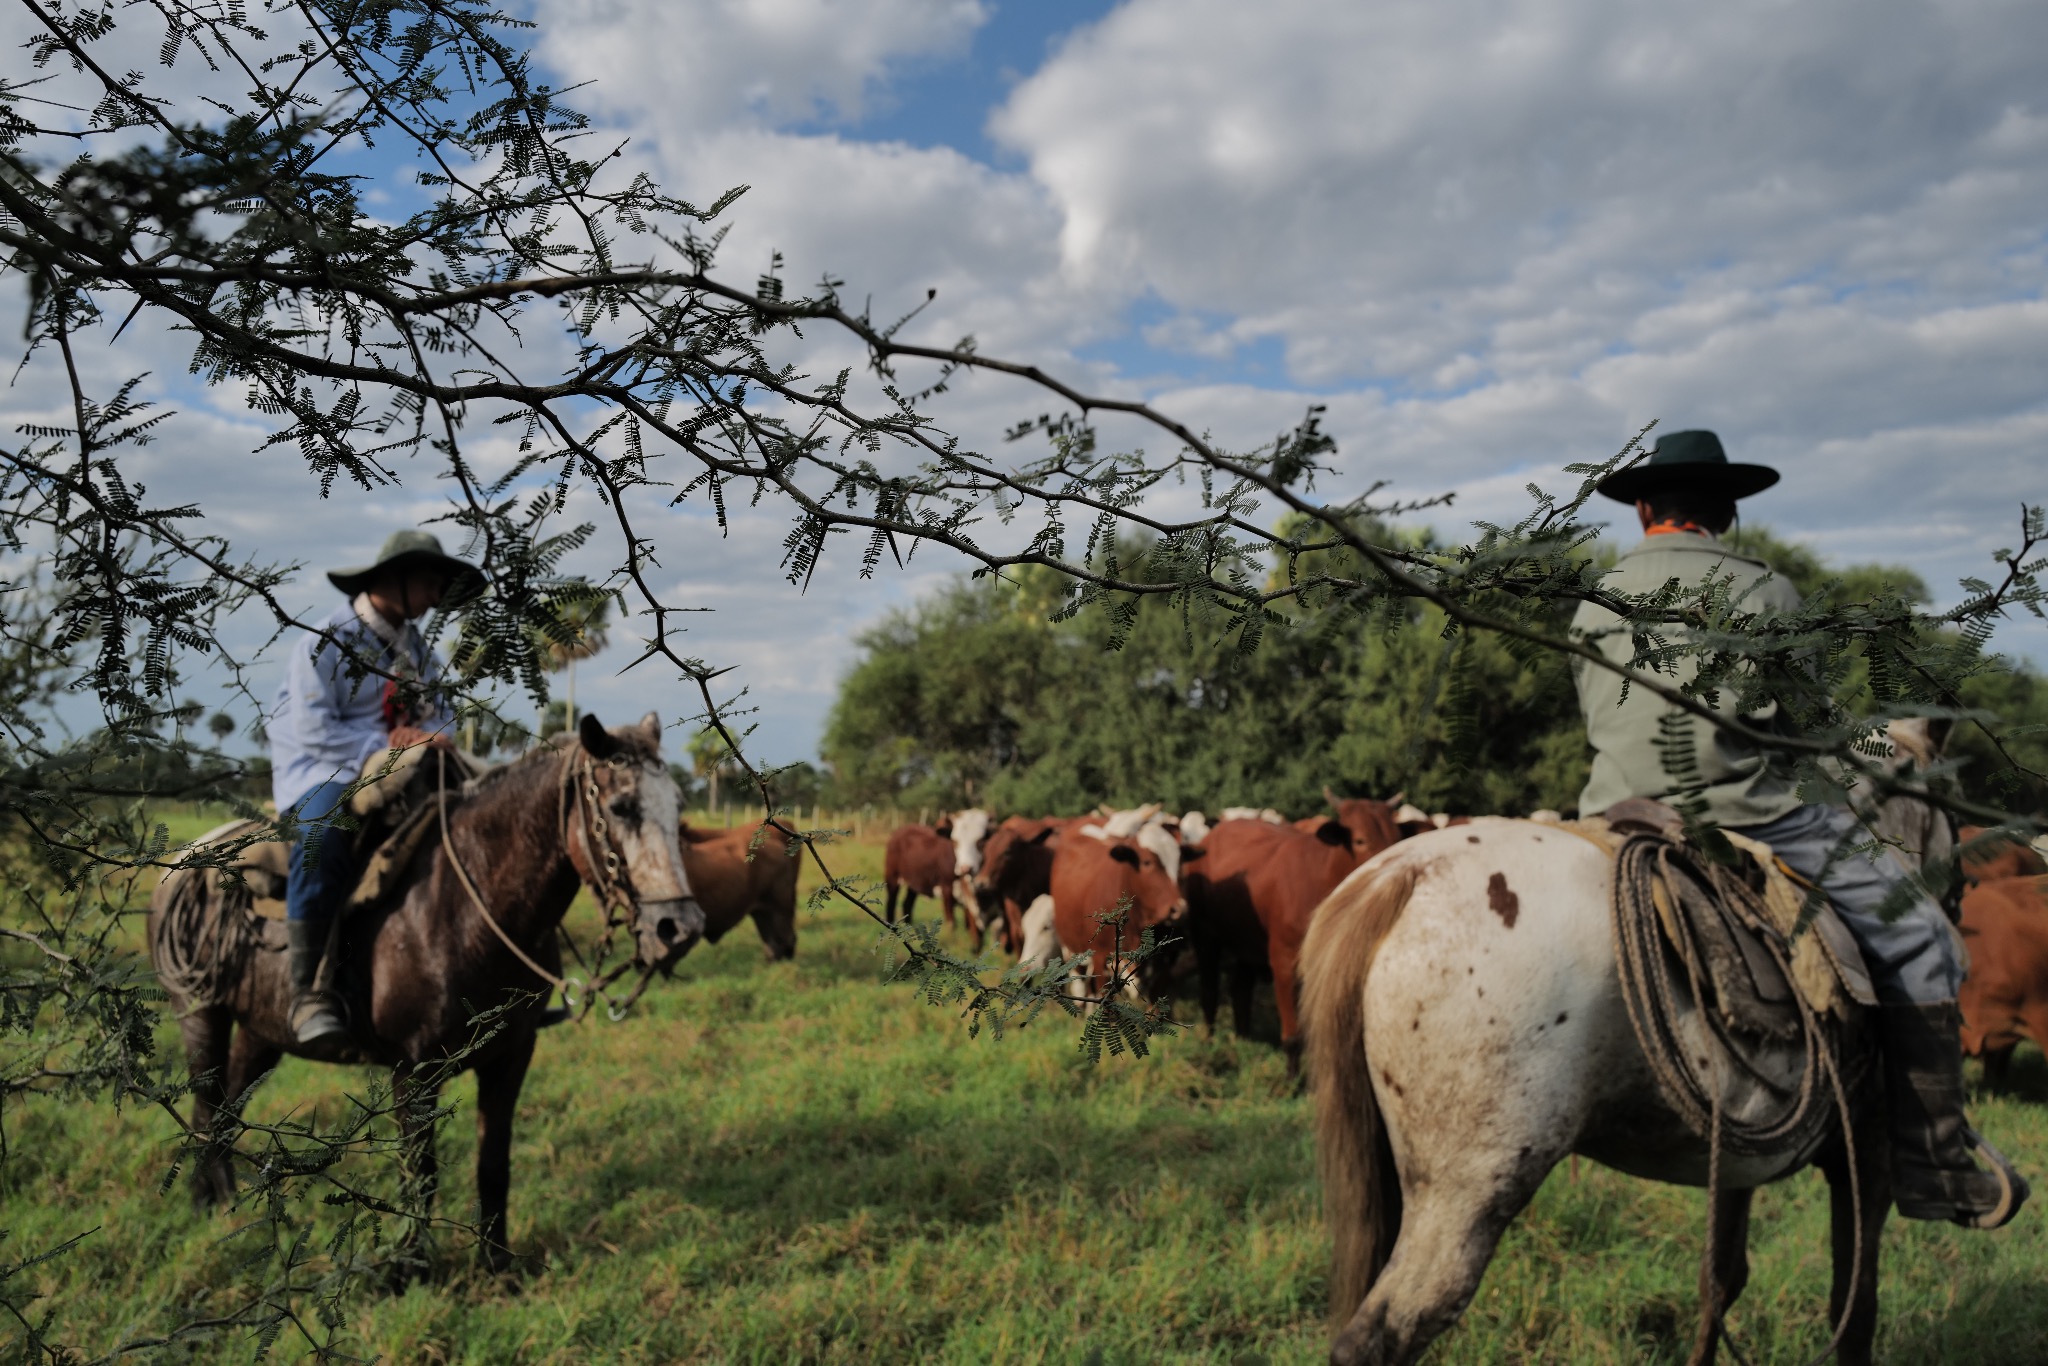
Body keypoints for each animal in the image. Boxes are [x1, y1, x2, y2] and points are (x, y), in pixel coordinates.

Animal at [1049, 831, 1201, 1002]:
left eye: (1181, 862)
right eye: (1146, 862)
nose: (1179, 909)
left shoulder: (1164, 963)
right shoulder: (1101, 958)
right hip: (1072, 951)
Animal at [1182, 791, 1403, 1075]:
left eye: (1397, 838)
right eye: (1360, 840)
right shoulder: (1284, 963)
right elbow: (1293, 1035)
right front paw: (1291, 1078)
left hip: (1246, 943)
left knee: (1240, 989)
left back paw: (1243, 1040)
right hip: (1204, 935)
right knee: (1209, 992)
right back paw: (1209, 1042)